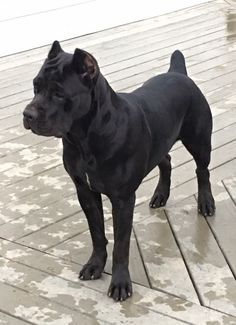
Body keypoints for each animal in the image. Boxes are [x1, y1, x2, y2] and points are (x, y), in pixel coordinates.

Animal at [23, 41, 216, 302]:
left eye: (59, 93)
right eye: (36, 86)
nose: (28, 114)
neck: (84, 138)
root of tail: (178, 73)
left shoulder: (123, 199)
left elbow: (121, 244)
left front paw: (120, 283)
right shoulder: (85, 191)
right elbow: (97, 233)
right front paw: (95, 265)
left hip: (199, 139)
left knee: (202, 170)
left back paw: (205, 202)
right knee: (165, 160)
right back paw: (160, 195)